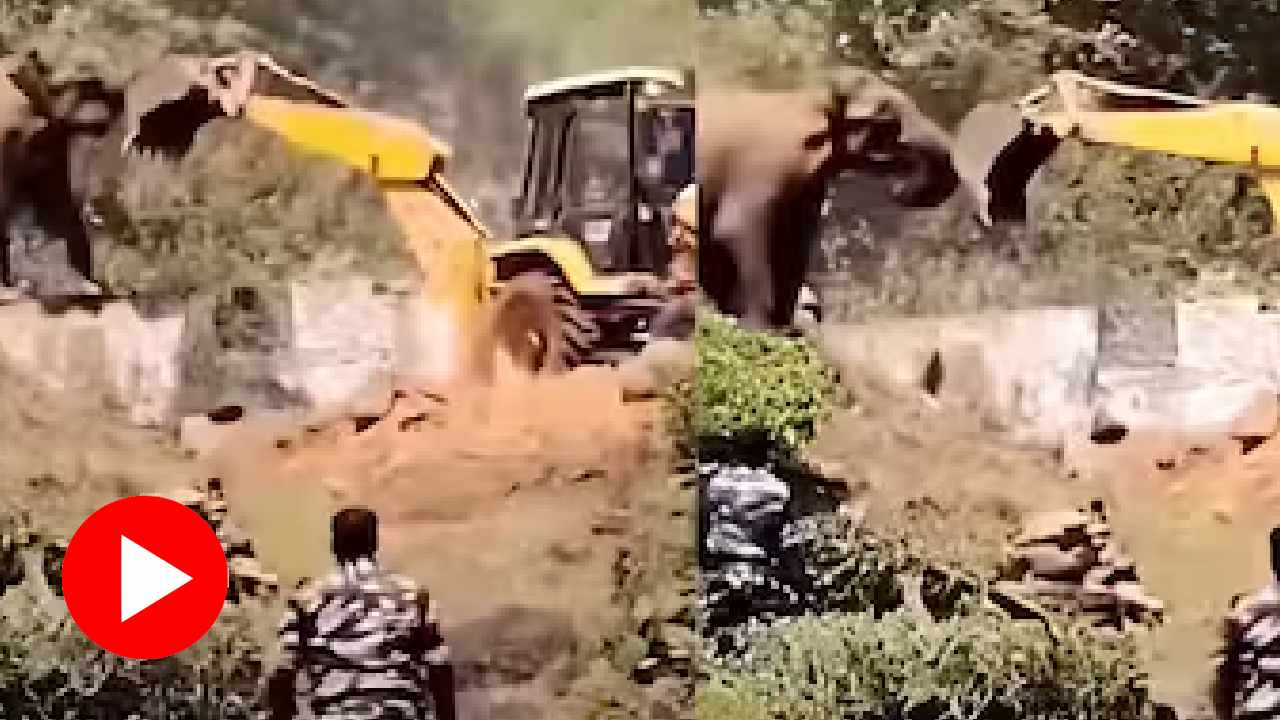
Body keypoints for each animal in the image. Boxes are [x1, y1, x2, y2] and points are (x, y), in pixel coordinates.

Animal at [697, 69, 980, 331]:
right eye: (887, 118)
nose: (898, 189)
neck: (811, 97)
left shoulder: (805, 187)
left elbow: (794, 243)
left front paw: (786, 329)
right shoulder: (765, 164)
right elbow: (734, 228)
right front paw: (760, 329)